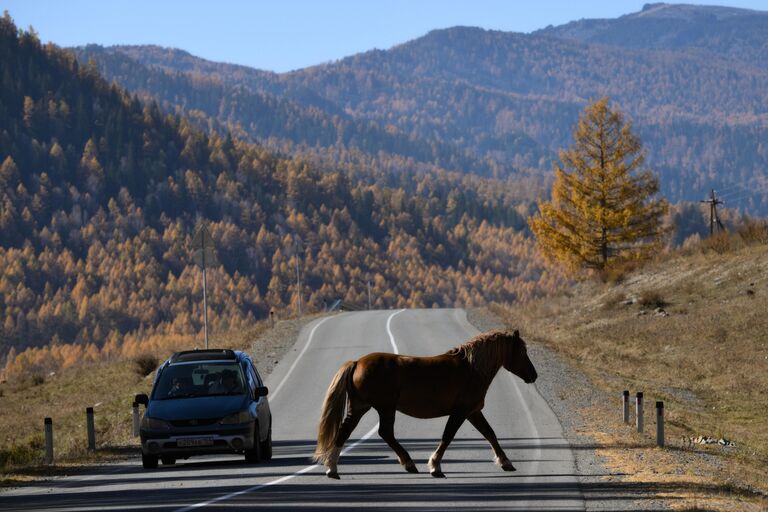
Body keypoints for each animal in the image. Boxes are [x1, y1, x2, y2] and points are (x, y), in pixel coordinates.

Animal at [312, 330, 536, 478]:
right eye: (522, 351)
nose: (534, 375)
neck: (471, 368)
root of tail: (357, 362)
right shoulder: (461, 412)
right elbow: (448, 436)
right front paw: (435, 466)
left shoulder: (473, 412)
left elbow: (490, 434)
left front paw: (506, 462)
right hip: (384, 408)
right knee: (384, 432)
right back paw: (408, 463)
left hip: (360, 407)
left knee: (346, 431)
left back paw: (332, 468)